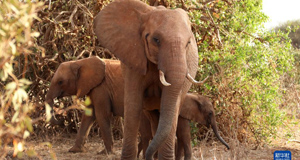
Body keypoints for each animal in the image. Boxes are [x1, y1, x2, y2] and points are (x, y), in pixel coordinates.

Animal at [94, 0, 202, 159]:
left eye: (188, 43)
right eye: (156, 40)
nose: (148, 156)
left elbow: (173, 107)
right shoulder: (133, 58)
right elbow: (133, 104)